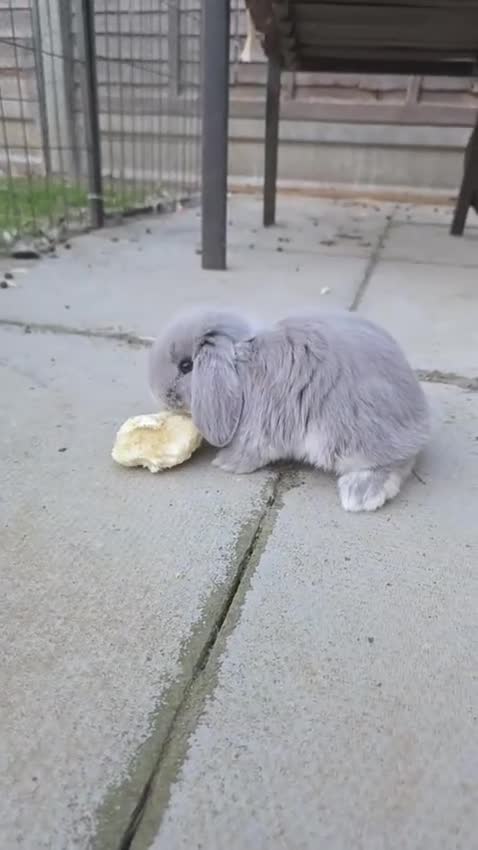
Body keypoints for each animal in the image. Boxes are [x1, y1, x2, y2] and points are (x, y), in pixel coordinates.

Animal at [149, 307, 430, 512]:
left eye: (186, 366)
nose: (158, 393)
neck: (239, 370)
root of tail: (418, 421)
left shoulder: (259, 429)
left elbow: (249, 452)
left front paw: (225, 463)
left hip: (349, 437)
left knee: (394, 463)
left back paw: (360, 494)